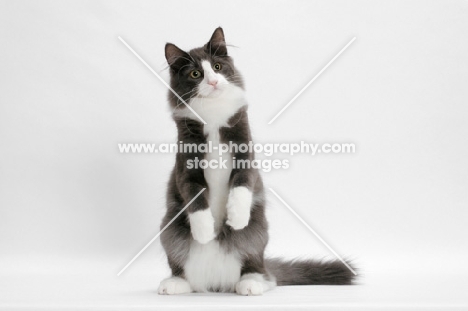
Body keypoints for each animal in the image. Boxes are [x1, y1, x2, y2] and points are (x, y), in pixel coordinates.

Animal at [158, 27, 354, 298]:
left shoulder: (245, 157)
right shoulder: (185, 167)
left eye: (217, 67)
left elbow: (242, 187)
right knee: (181, 266)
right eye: (196, 74)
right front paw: (205, 231)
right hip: (170, 231)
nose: (213, 82)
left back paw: (251, 283)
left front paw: (237, 217)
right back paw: (177, 283)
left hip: (258, 234)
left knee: (262, 271)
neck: (213, 117)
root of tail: (217, 282)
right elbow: (195, 197)